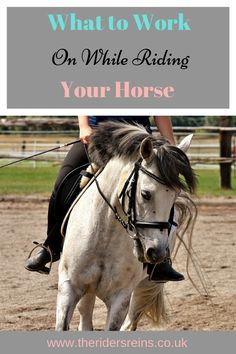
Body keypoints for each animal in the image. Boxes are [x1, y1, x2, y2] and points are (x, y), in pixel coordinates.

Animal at [55, 122, 197, 332]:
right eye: (145, 194)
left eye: (175, 195)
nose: (156, 253)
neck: (105, 235)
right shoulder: (69, 287)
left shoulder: (120, 298)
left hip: (146, 285)